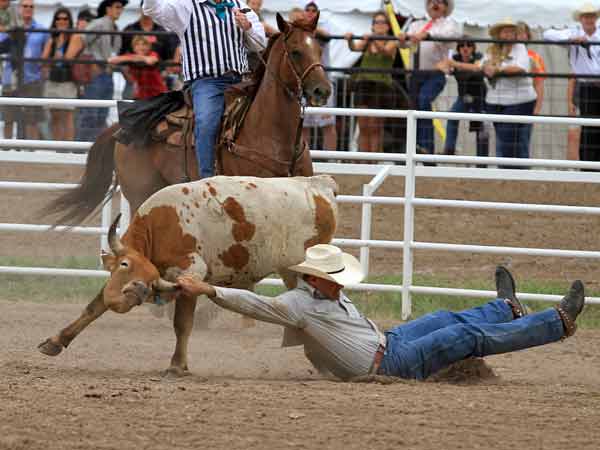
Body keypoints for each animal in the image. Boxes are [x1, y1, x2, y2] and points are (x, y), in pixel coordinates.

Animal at [43, 13, 332, 225]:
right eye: (295, 51)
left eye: (319, 49)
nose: (323, 90)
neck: (270, 133)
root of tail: (121, 128)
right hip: (140, 194)